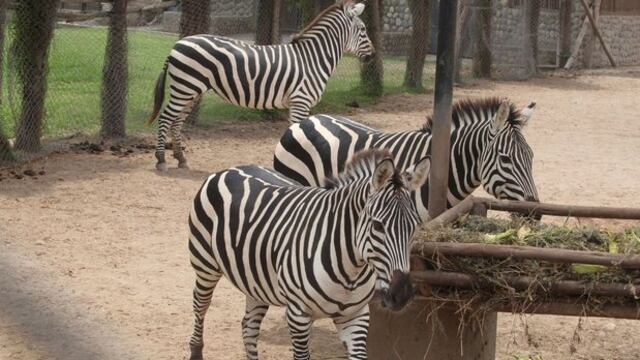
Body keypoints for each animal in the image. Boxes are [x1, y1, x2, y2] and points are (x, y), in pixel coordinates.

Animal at [145, 0, 376, 172]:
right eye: (363, 29)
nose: (373, 56)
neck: (313, 59)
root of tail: (177, 44)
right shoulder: (301, 100)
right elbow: (298, 133)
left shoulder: (299, 103)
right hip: (184, 87)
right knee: (165, 119)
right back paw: (161, 160)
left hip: (191, 90)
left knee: (176, 122)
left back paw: (181, 158)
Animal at [188, 149, 432, 360]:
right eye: (378, 226)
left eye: (414, 227)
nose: (401, 294)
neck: (350, 271)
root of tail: (229, 169)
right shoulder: (298, 315)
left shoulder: (356, 316)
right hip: (205, 264)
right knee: (201, 305)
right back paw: (196, 349)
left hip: (256, 281)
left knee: (248, 326)